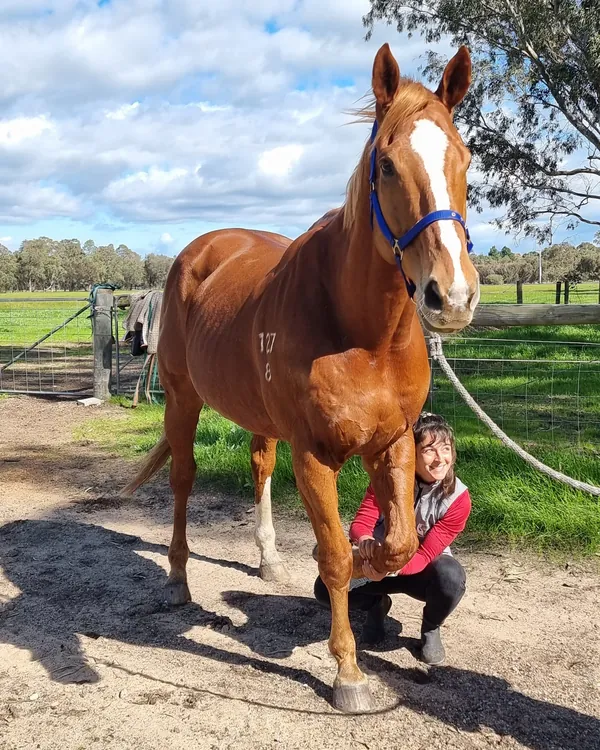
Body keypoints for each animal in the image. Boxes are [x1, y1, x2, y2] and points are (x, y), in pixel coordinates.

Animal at [123, 43, 480, 713]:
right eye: (386, 165)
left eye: (464, 158)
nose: (452, 296)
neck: (366, 334)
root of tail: (197, 253)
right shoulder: (314, 455)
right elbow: (335, 554)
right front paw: (348, 673)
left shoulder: (393, 444)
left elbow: (396, 543)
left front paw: (373, 565)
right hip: (183, 400)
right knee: (182, 480)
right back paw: (179, 578)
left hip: (259, 418)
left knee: (259, 466)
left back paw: (266, 559)